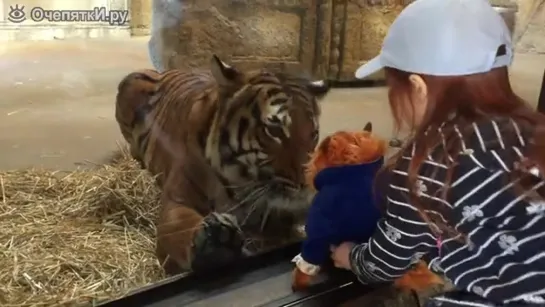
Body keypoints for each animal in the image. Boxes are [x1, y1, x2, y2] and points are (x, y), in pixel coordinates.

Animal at [115, 54, 330, 274]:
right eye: (274, 130)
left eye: (313, 134)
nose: (309, 181)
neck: (242, 180)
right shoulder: (176, 201)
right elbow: (180, 226)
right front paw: (215, 240)